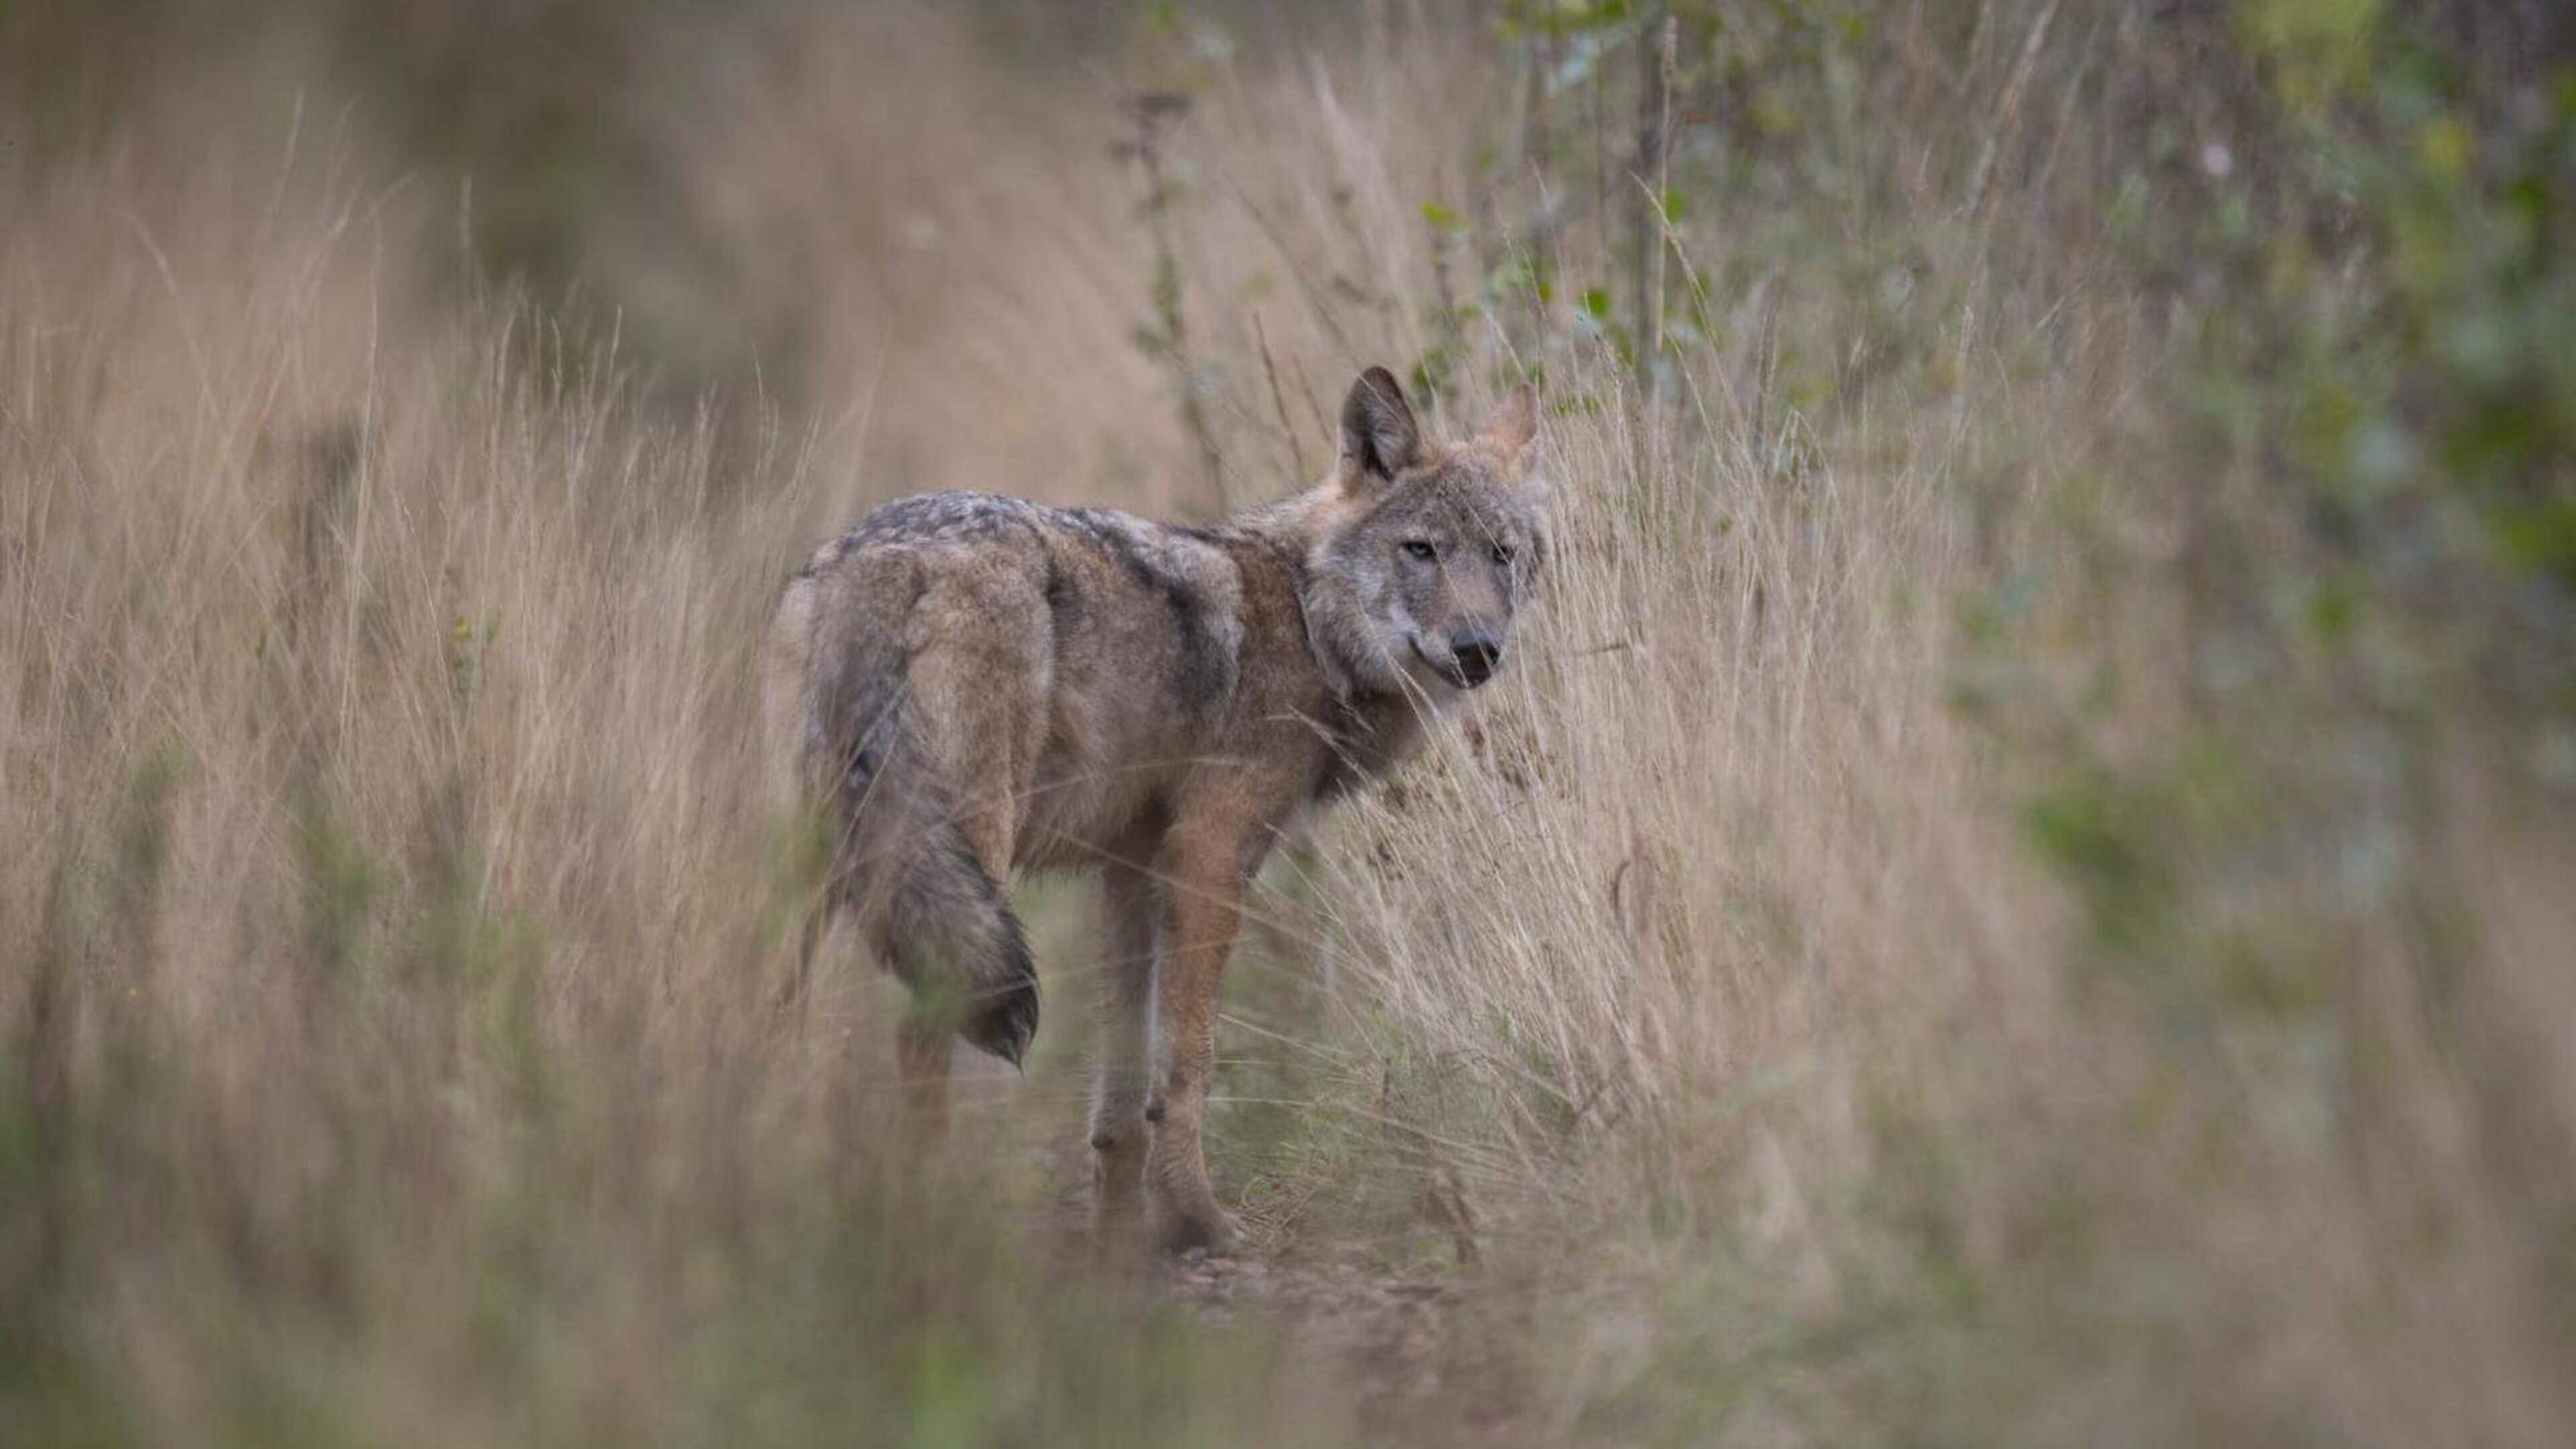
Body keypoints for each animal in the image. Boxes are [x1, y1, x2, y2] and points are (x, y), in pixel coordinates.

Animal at [763, 367, 1546, 1253]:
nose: (1478, 649)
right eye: (1421, 550)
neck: (1306, 620)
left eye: (1501, 554)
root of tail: (885, 552)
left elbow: (1121, 1086)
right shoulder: (1207, 857)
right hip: (957, 865)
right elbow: (1188, 1063)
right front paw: (1197, 1219)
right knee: (914, 1035)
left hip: (823, 872)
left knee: (770, 1015)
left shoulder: (1131, 872)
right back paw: (919, 1221)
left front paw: (1118, 1237)